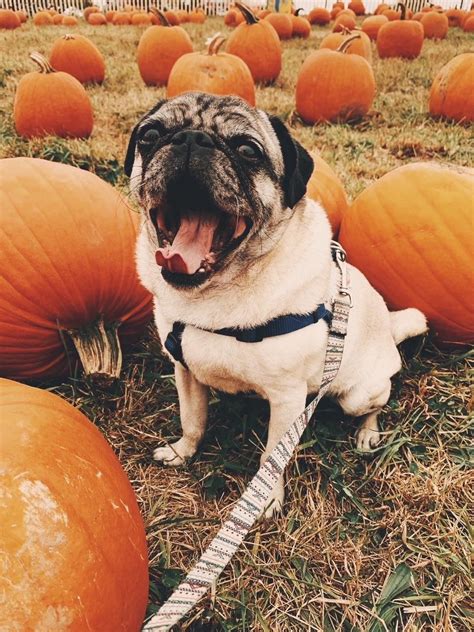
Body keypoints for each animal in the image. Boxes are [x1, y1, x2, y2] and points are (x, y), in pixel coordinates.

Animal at [125, 94, 426, 520]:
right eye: (150, 135)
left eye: (248, 150)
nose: (192, 139)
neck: (215, 295)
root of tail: (388, 327)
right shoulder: (185, 372)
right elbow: (192, 420)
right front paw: (183, 452)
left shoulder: (287, 398)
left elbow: (271, 458)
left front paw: (265, 499)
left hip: (359, 394)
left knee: (373, 405)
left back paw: (368, 433)